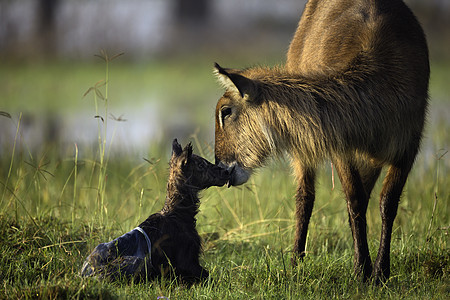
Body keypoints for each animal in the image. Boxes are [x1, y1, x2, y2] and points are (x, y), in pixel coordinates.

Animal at [80, 139, 229, 284]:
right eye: (201, 165)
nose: (227, 171)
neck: (178, 213)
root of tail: (86, 274)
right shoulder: (187, 259)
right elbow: (210, 277)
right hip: (139, 262)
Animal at [213, 0, 430, 284]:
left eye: (225, 111)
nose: (220, 165)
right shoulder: (341, 149)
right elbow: (355, 201)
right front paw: (362, 271)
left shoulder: (407, 148)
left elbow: (387, 203)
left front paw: (380, 272)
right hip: (305, 150)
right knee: (306, 196)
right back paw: (295, 262)